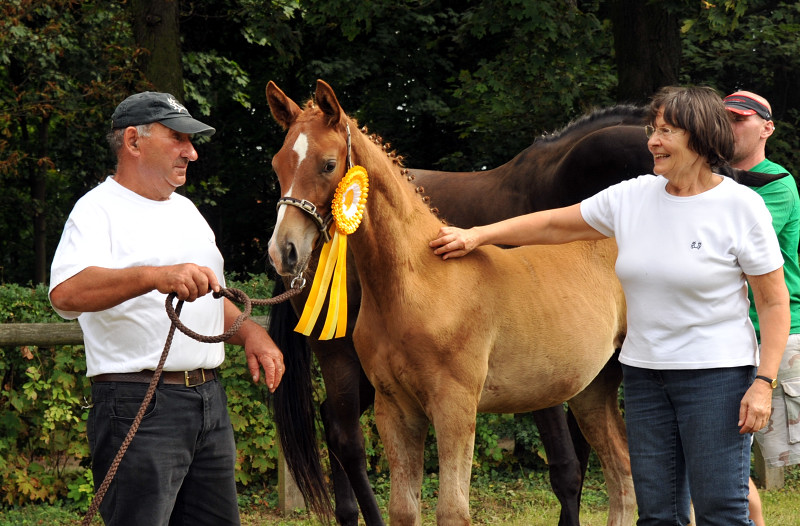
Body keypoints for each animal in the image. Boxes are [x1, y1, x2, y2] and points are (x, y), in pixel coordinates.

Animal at [268, 78, 636, 526]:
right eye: (278, 165)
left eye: (327, 164)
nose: (284, 251)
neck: (418, 281)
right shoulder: (396, 409)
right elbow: (404, 510)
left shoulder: (455, 406)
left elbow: (453, 510)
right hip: (592, 388)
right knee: (621, 470)